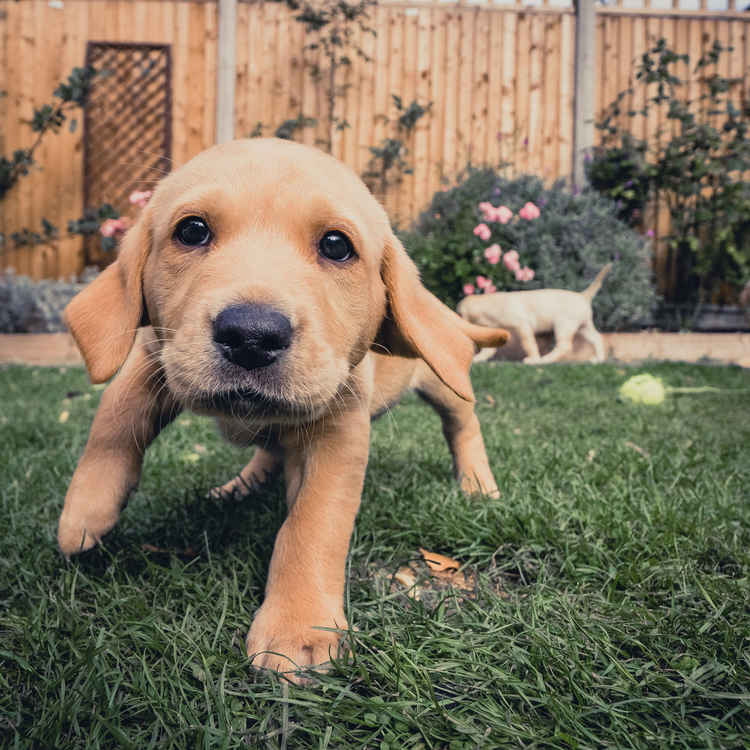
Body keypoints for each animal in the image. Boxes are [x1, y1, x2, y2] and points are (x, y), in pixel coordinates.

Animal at [60, 140, 512, 680]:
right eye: (191, 230)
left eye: (336, 245)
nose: (251, 336)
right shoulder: (154, 354)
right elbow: (114, 417)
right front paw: (86, 510)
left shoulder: (338, 427)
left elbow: (313, 523)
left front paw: (299, 626)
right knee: (269, 448)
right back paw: (239, 485)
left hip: (444, 379)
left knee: (462, 422)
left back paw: (478, 482)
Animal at [458, 266, 616, 366]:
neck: (491, 303)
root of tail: (583, 296)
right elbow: (489, 349)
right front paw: (478, 358)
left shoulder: (522, 325)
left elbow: (528, 343)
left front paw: (533, 359)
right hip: (584, 325)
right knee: (597, 338)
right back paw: (598, 359)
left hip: (563, 325)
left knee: (564, 346)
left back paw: (544, 360)